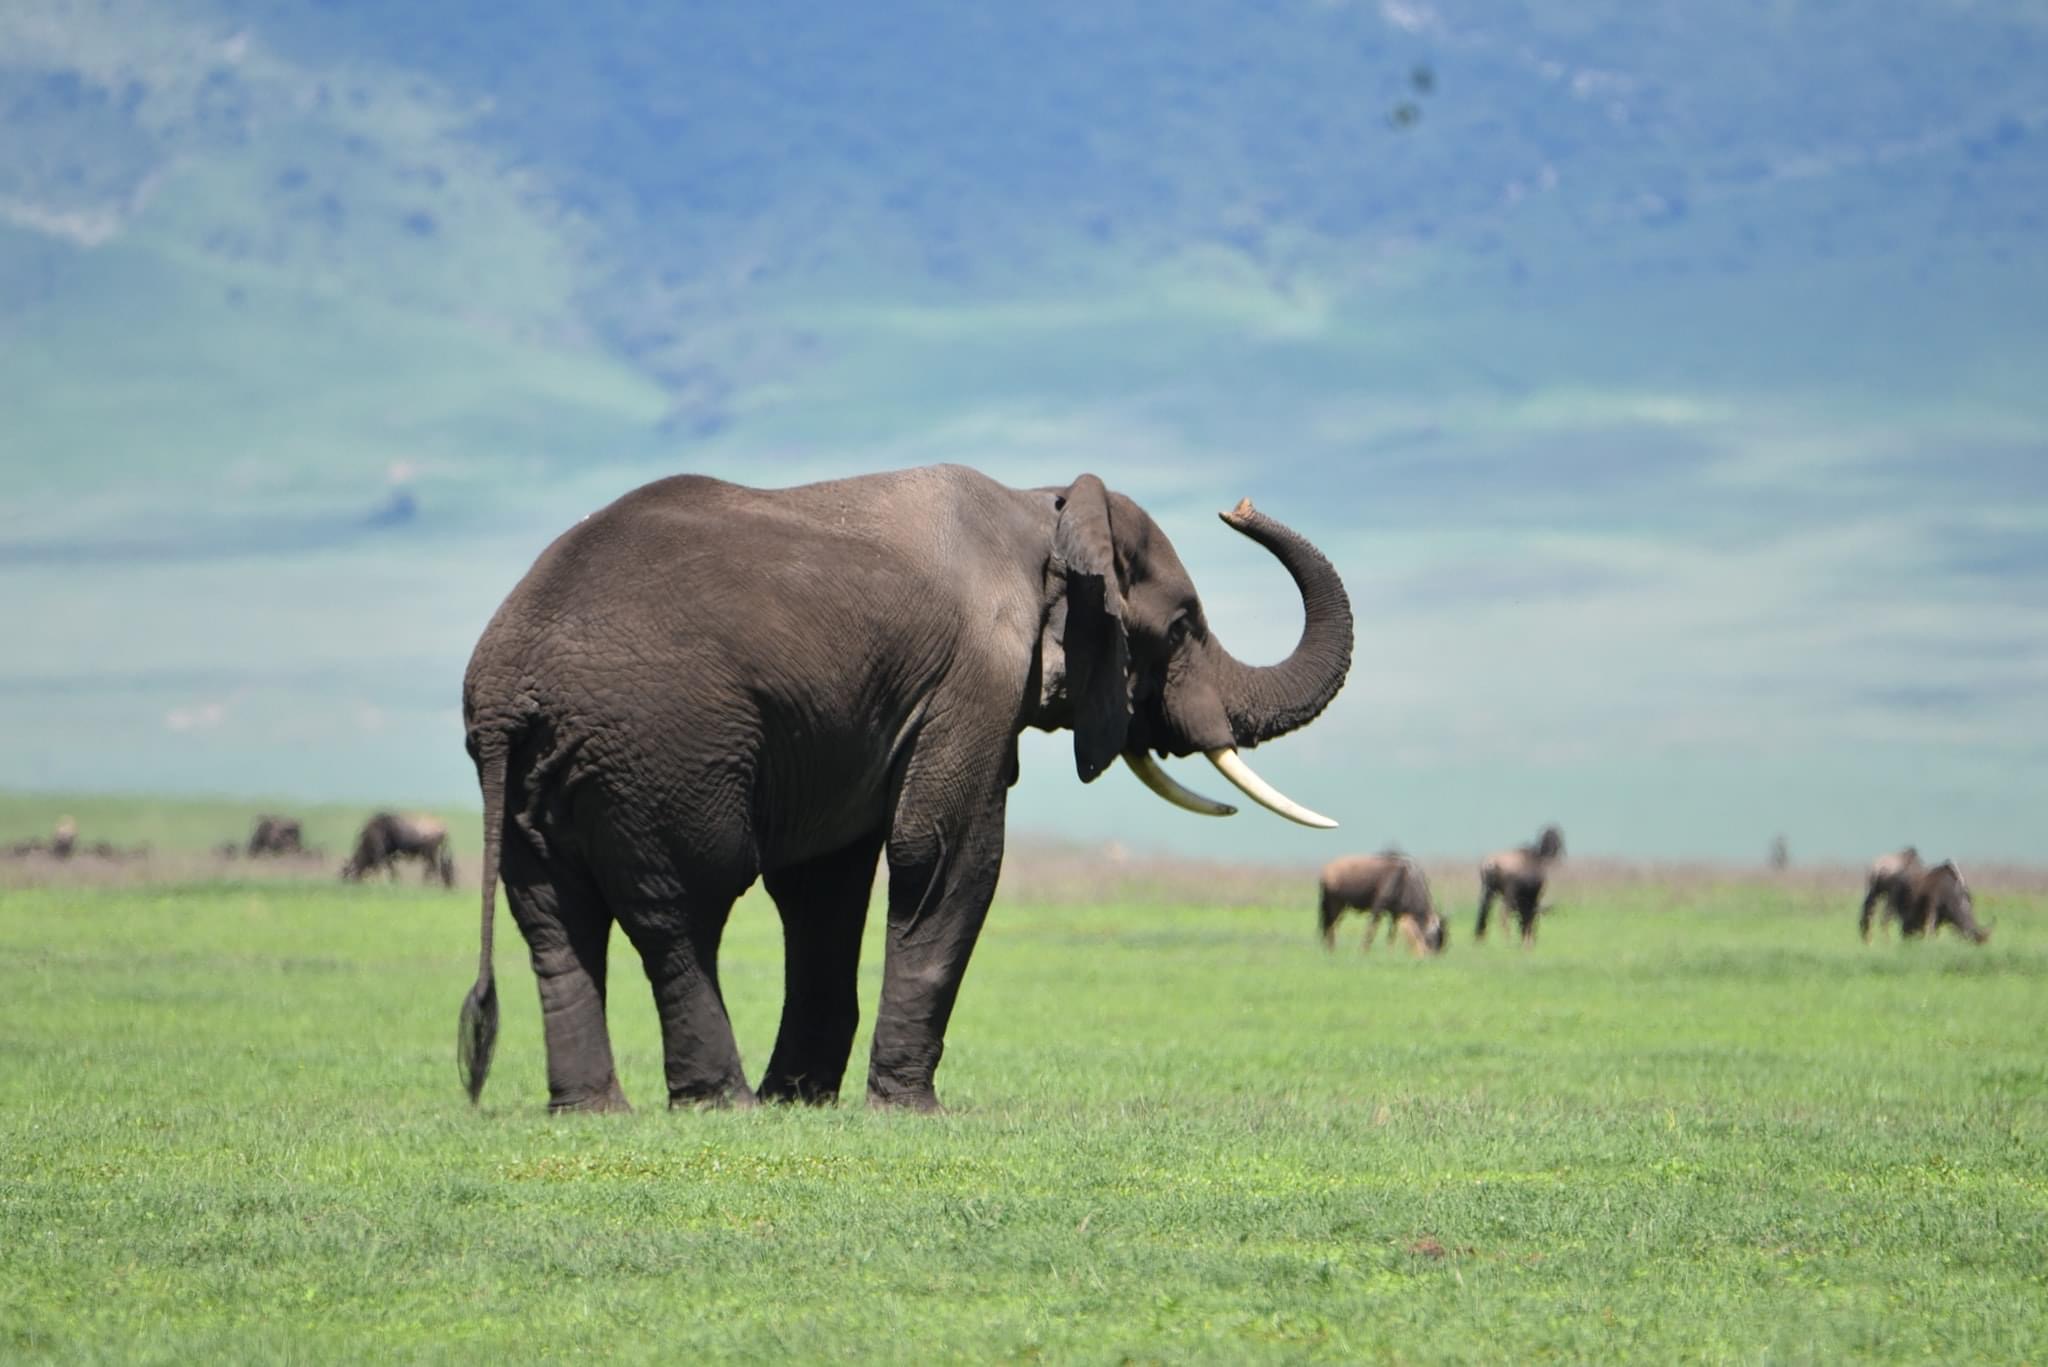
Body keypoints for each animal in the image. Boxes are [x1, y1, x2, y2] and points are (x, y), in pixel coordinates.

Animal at [456, 463, 1354, 1113]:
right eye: (1180, 626)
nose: (1238, 507)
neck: (1044, 508)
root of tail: (506, 685)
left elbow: (824, 885)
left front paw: (802, 1103)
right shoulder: (974, 677)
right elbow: (949, 852)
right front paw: (908, 1110)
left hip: (545, 773)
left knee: (554, 923)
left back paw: (596, 1110)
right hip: (663, 748)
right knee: (682, 909)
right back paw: (720, 1105)